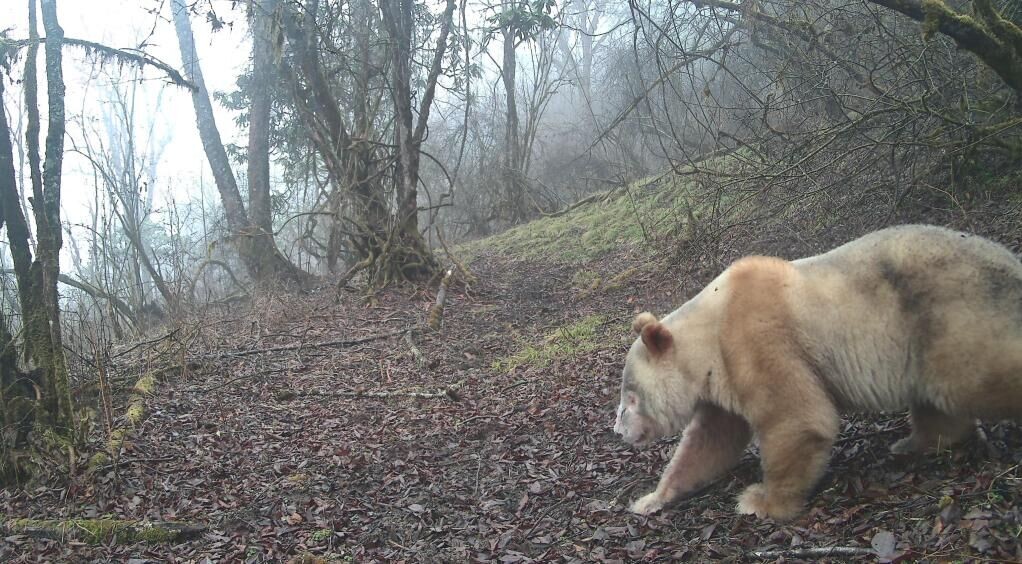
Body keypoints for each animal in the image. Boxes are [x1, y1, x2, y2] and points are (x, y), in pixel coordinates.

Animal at [612, 224, 1022, 521]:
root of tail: (1009, 263)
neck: (711, 326)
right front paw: (650, 499)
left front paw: (760, 502)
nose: (618, 431)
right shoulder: (721, 375)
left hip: (948, 311)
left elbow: (798, 418)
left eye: (629, 398)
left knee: (978, 375)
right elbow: (710, 441)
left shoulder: (758, 340)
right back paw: (915, 443)